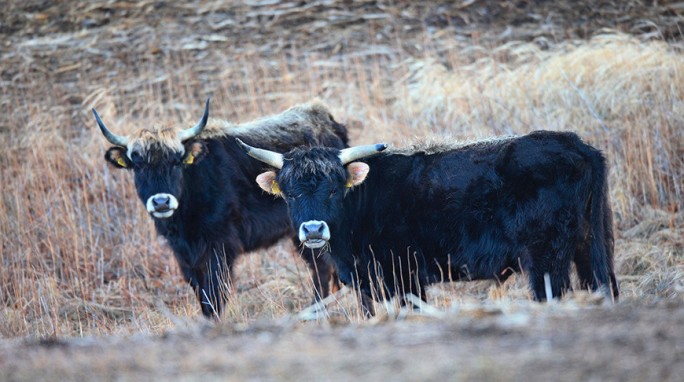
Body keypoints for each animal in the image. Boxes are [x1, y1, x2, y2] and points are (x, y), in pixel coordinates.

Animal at [92, 100, 348, 318]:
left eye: (176, 161)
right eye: (138, 165)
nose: (161, 202)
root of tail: (327, 119)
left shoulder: (220, 245)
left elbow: (214, 292)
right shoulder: (185, 255)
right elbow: (200, 291)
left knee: (322, 269)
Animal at [239, 132, 620, 316]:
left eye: (334, 188)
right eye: (290, 193)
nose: (314, 230)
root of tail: (576, 144)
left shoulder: (404, 277)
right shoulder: (369, 283)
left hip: (546, 257)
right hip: (590, 246)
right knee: (603, 286)